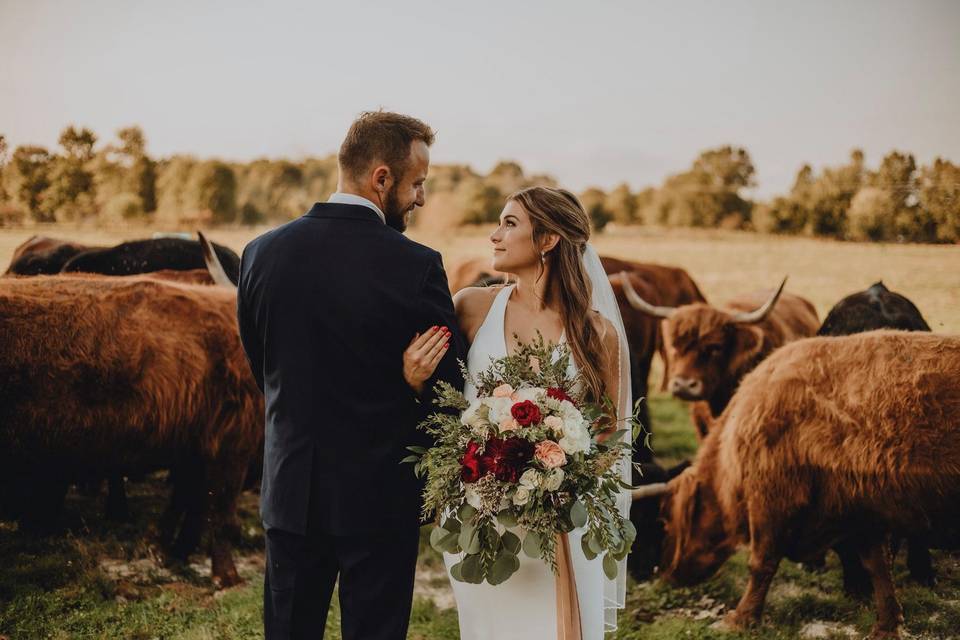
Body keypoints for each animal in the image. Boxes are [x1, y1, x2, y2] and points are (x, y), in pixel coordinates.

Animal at [0, 272, 260, 588]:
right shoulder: (233, 444)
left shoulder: (196, 447)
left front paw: (167, 548)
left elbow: (187, 501)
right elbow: (220, 513)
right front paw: (226, 575)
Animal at [648, 332, 956, 636]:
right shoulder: (863, 510)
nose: (661, 573)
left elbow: (761, 562)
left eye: (664, 521)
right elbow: (878, 568)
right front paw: (886, 626)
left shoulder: (771, 499)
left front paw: (740, 618)